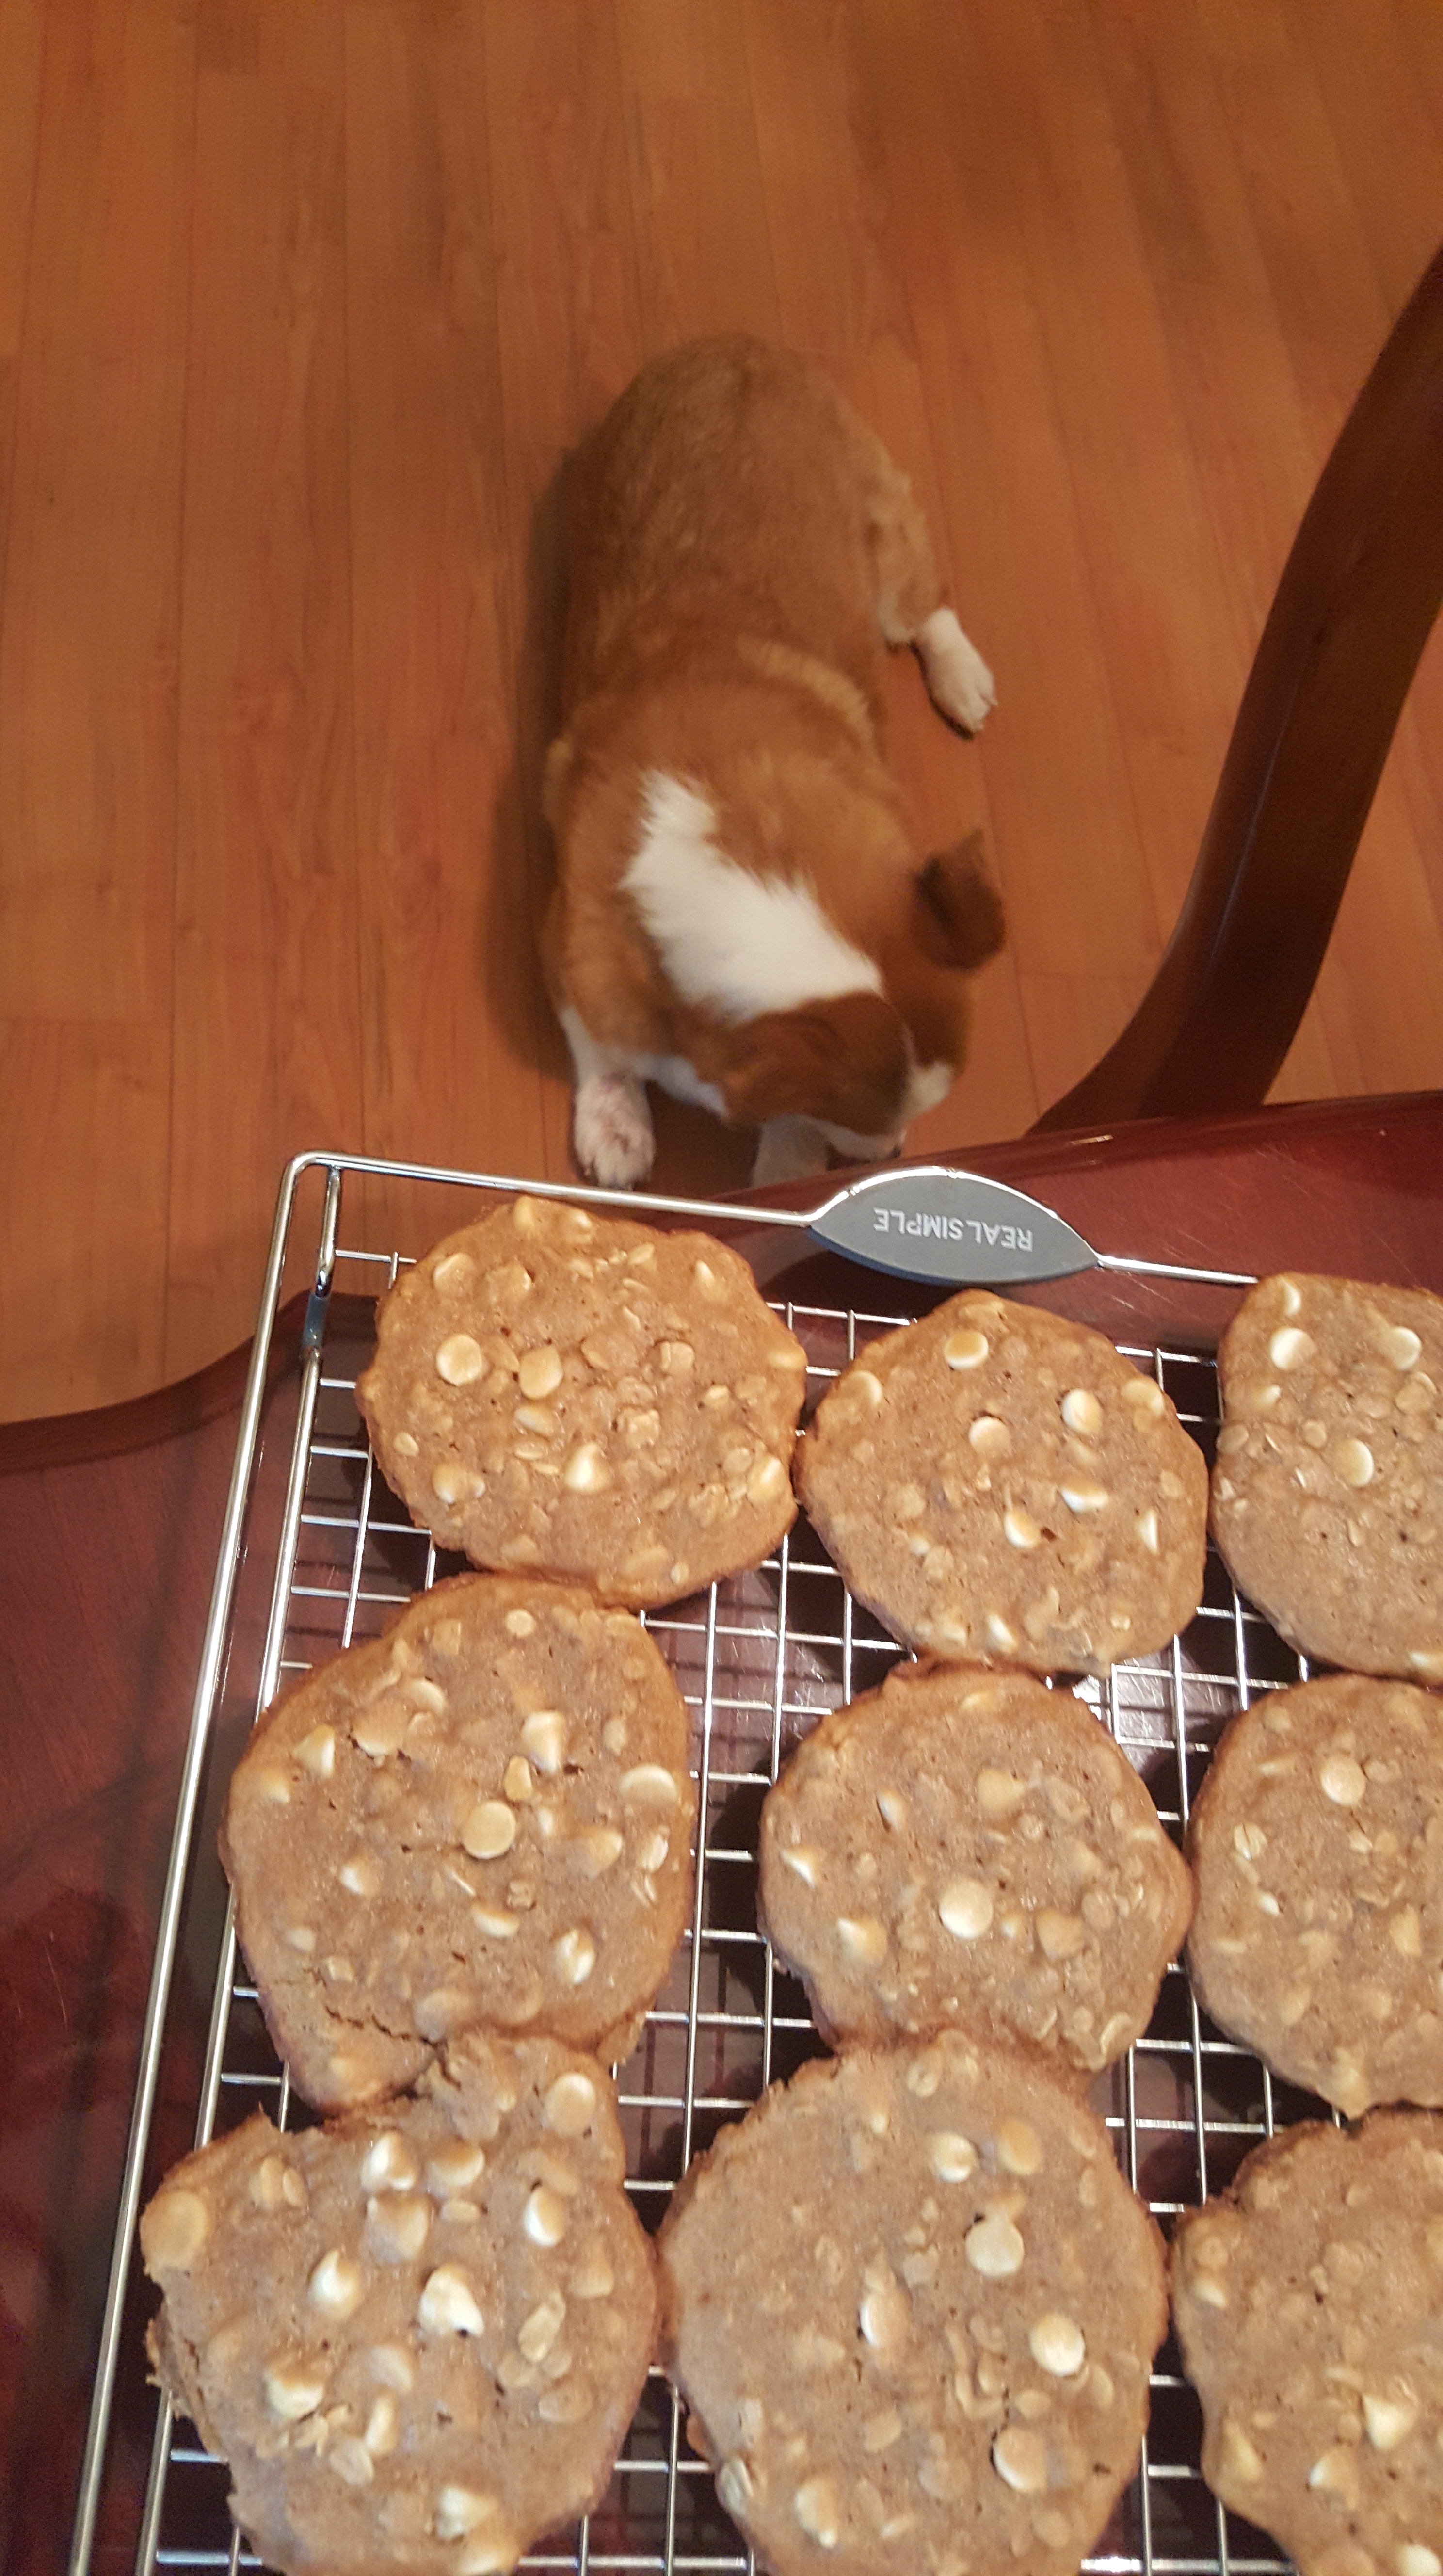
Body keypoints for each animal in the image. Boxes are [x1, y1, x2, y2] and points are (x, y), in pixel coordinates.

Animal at [541, 336, 1004, 1189]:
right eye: (862, 1121)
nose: (895, 1152)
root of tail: (739, 345)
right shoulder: (570, 952)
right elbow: (604, 1049)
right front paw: (617, 1125)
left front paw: (790, 1165)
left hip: (890, 554)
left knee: (926, 610)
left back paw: (962, 679)